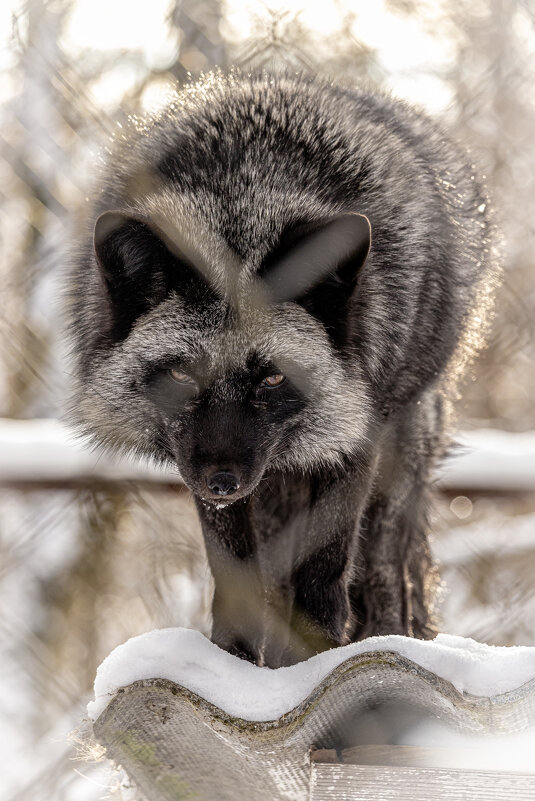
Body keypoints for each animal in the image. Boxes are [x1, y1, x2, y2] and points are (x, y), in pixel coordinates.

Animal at [69, 72, 496, 664]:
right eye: (181, 376)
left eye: (272, 377)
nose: (222, 478)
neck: (247, 194)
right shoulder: (204, 469)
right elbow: (236, 571)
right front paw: (234, 664)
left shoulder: (356, 429)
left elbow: (326, 566)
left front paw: (316, 660)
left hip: (400, 443)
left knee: (388, 564)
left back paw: (392, 631)